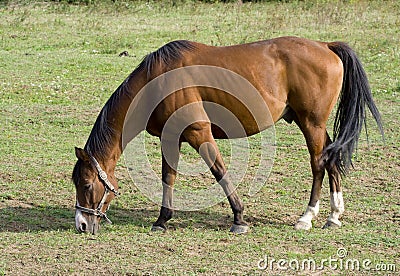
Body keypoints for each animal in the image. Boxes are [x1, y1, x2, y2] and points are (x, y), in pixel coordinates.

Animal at [72, 36, 384, 235]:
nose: (82, 225)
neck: (158, 80)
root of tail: (325, 46)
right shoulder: (171, 138)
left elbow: (220, 172)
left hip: (311, 124)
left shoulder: (199, 134)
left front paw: (239, 217)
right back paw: (333, 215)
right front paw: (162, 220)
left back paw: (307, 217)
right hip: (312, 124)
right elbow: (168, 177)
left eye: (86, 184)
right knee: (331, 159)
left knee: (319, 163)